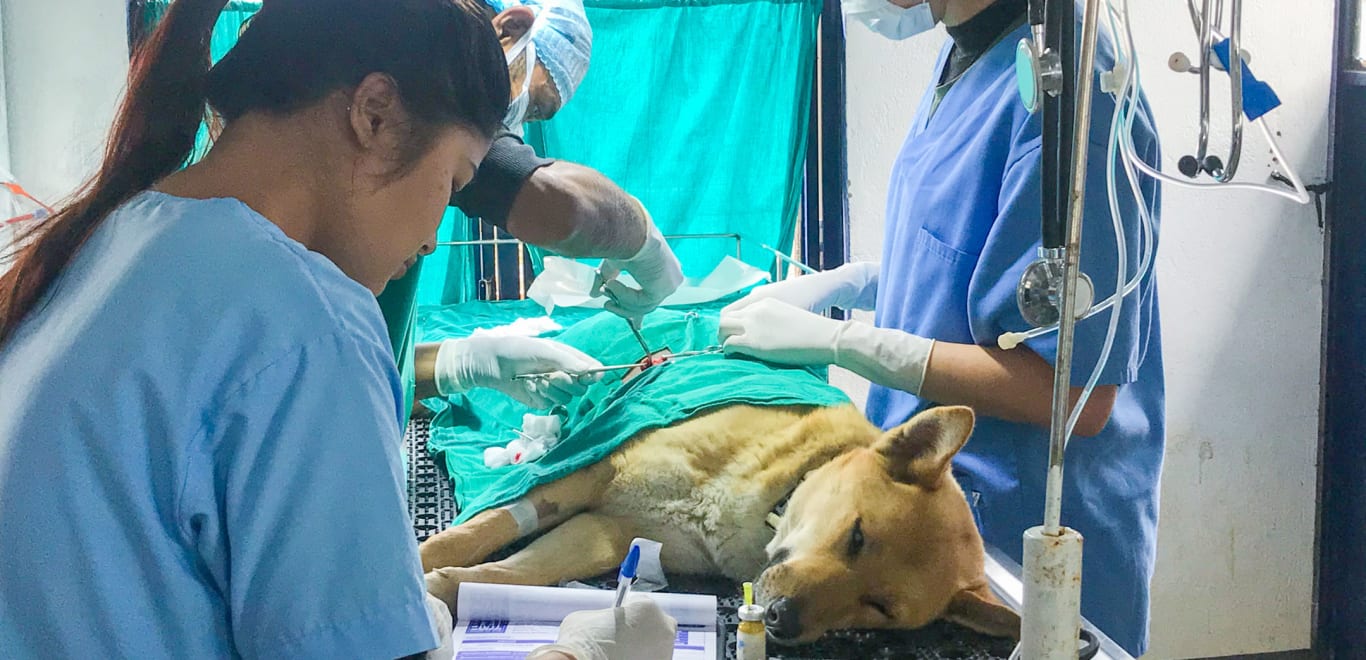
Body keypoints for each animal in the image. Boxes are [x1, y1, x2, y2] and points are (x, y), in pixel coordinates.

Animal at [420, 401, 1021, 644]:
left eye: (880, 608)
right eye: (857, 536)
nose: (781, 619)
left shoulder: (609, 534)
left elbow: (518, 574)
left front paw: (447, 588)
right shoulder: (590, 475)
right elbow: (483, 530)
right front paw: (421, 563)